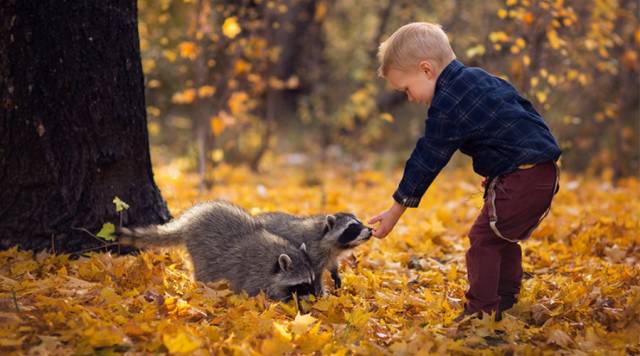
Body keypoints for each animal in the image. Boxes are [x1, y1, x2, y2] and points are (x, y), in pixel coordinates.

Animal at [116, 200, 316, 300]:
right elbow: (252, 291)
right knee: (205, 271)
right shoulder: (253, 273)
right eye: (303, 284)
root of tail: (189, 220)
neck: (275, 257)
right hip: (201, 247)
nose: (317, 297)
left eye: (313, 280)